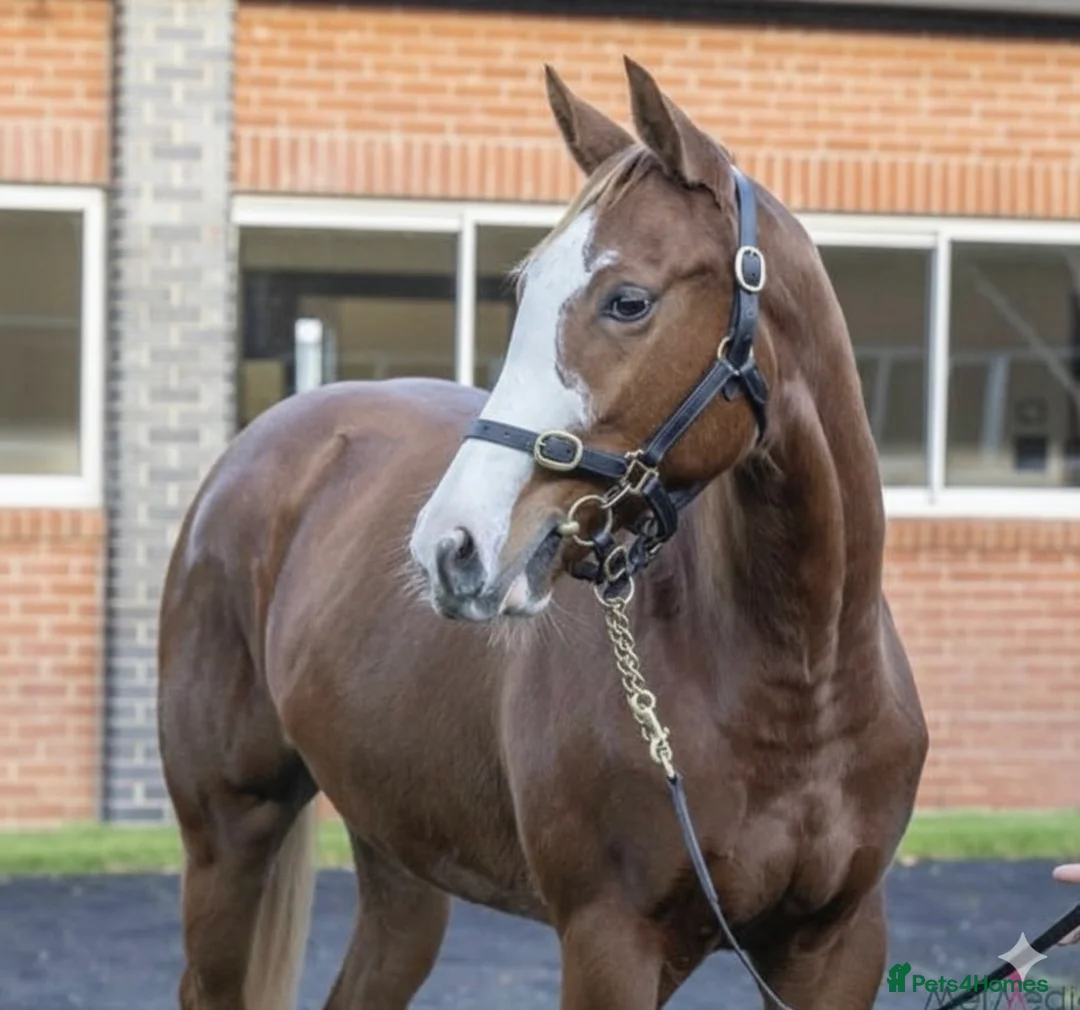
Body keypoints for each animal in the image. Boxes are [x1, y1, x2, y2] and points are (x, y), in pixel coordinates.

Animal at [158, 57, 929, 1010]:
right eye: (525, 292)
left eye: (628, 300)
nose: (451, 548)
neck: (801, 683)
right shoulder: (610, 941)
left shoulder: (835, 946)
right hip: (229, 835)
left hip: (400, 853)